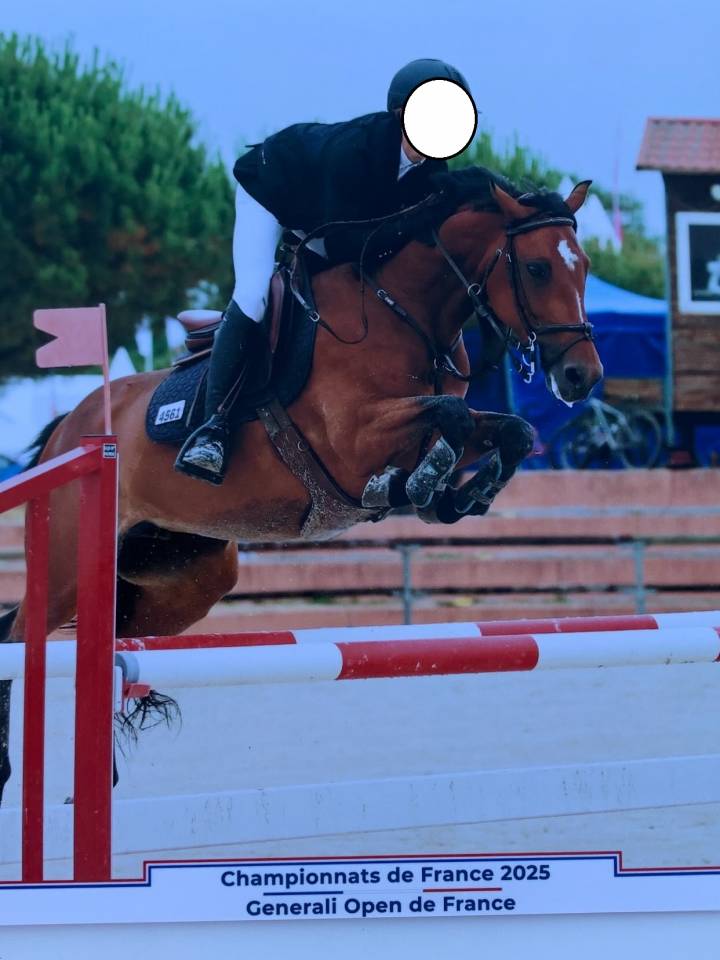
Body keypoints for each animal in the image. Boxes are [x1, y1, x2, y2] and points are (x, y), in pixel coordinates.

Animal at [0, 166, 603, 802]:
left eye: (584, 265)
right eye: (536, 268)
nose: (582, 377)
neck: (405, 315)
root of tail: (71, 429)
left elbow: (509, 428)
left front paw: (457, 495)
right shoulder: (351, 440)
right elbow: (450, 418)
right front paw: (412, 487)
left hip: (184, 575)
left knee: (119, 644)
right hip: (68, 567)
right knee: (15, 635)